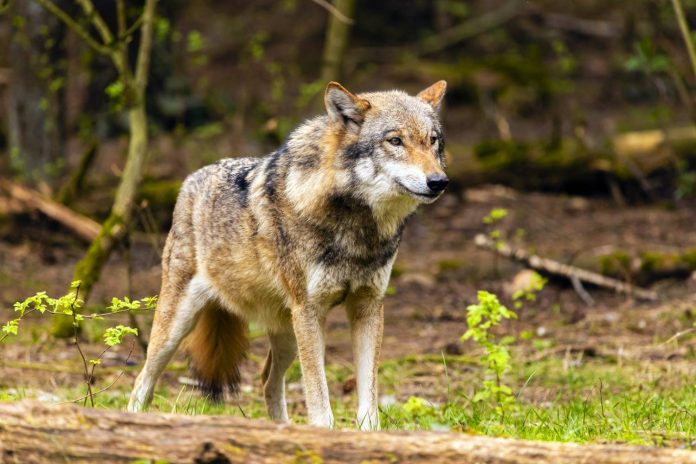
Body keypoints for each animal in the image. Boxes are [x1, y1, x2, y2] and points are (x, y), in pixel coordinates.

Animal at [128, 79, 448, 428]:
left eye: (432, 140)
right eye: (395, 141)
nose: (439, 181)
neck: (357, 228)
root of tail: (190, 179)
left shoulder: (368, 307)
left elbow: (368, 403)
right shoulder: (309, 310)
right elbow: (320, 403)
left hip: (288, 333)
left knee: (267, 381)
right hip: (177, 327)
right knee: (142, 381)